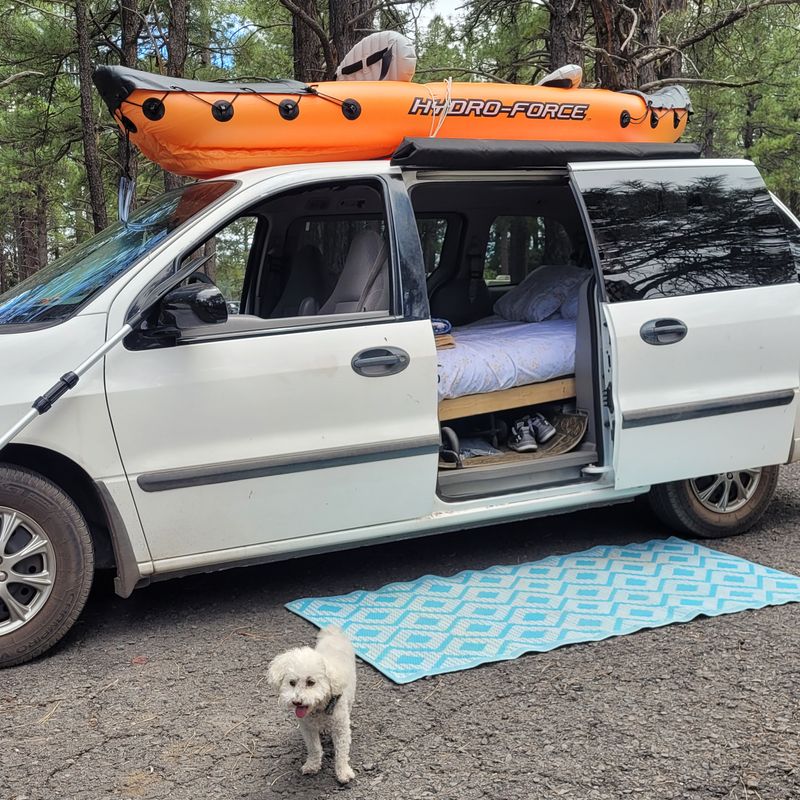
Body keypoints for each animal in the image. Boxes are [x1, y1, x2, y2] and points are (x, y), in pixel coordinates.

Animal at [268, 624, 356, 780]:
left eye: (311, 682)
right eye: (292, 682)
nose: (296, 702)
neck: (319, 710)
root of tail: (334, 633)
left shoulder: (340, 727)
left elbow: (342, 750)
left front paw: (343, 772)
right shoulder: (307, 727)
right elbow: (314, 748)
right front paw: (312, 765)